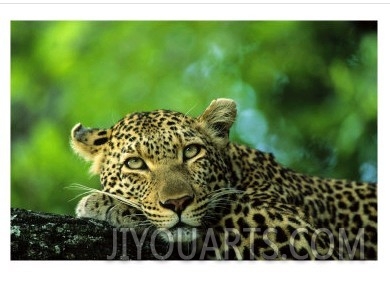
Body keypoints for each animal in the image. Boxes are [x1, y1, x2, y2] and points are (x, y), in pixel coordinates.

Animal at [71, 97, 378, 260]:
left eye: (191, 151)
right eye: (135, 163)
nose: (178, 203)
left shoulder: (306, 239)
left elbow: (225, 215)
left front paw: (105, 204)